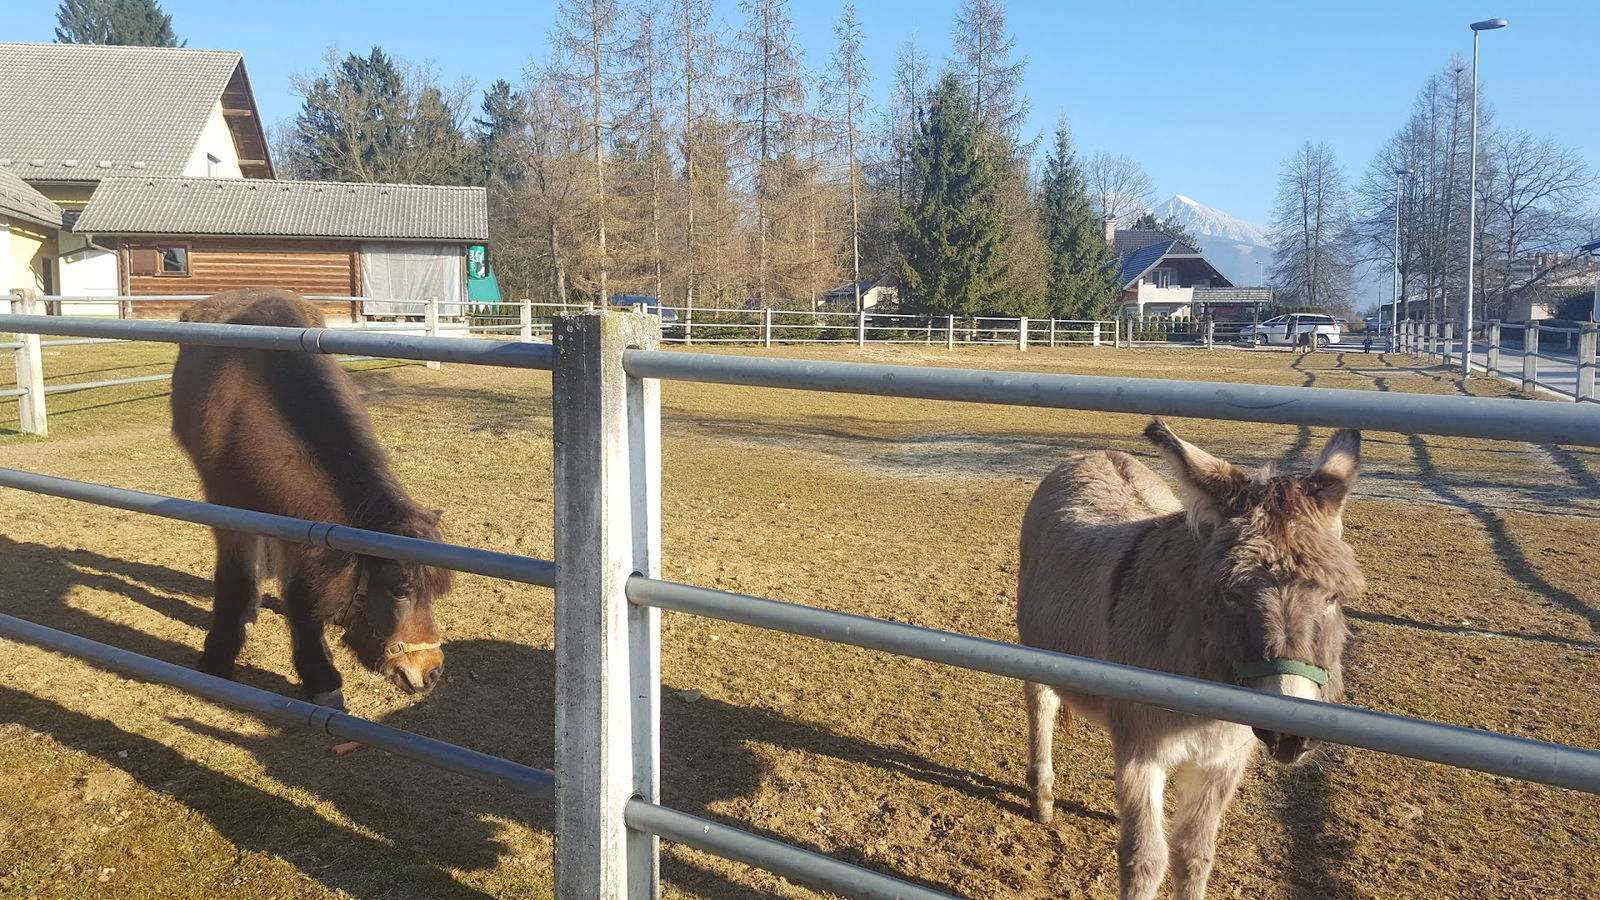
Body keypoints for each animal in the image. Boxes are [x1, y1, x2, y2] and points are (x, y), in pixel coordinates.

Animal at [170, 288, 451, 707]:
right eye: (400, 591)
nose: (430, 673)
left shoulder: (300, 528)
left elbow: (302, 596)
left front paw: (320, 678)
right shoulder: (230, 515)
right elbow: (238, 582)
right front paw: (217, 659)